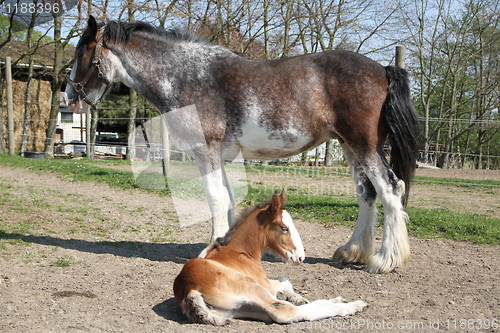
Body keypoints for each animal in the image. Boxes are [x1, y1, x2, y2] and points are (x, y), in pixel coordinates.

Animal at [65, 16, 418, 272]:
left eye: (82, 52)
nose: (70, 97)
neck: (188, 77)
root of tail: (383, 70)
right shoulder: (223, 156)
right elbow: (230, 200)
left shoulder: (205, 151)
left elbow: (216, 199)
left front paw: (210, 250)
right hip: (350, 147)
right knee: (367, 194)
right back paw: (352, 252)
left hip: (365, 146)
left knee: (390, 190)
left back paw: (384, 260)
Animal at [174, 189, 366, 324]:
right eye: (284, 227)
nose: (300, 257)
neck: (239, 253)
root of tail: (188, 290)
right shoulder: (265, 283)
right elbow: (284, 280)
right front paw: (296, 296)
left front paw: (296, 296)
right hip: (252, 287)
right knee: (284, 312)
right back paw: (352, 305)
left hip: (240, 308)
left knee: (275, 312)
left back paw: (338, 300)